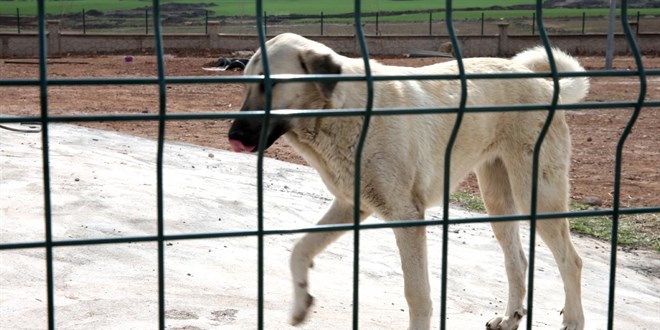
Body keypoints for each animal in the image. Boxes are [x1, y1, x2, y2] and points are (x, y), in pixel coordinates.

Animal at [228, 33, 588, 330]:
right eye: (245, 85)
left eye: (269, 85)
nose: (233, 136)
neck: (341, 112)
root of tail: (542, 83)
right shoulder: (351, 206)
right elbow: (299, 249)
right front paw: (301, 302)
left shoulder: (407, 217)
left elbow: (417, 294)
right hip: (498, 200)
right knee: (517, 260)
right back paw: (511, 317)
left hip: (537, 193)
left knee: (571, 260)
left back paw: (573, 321)